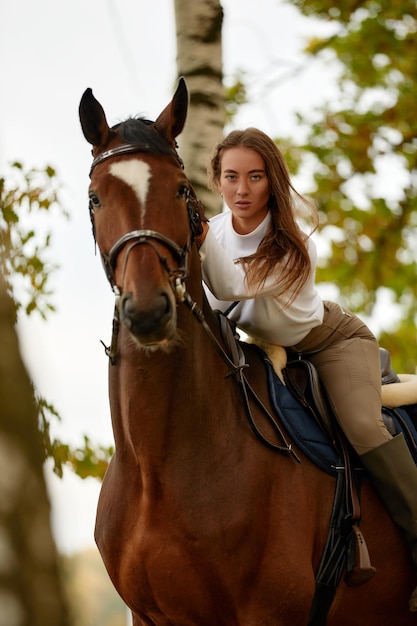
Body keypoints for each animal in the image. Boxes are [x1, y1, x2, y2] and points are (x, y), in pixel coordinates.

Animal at [79, 79, 416, 624]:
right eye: (95, 198)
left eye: (181, 189)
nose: (148, 310)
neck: (158, 467)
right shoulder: (147, 616)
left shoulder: (268, 612)